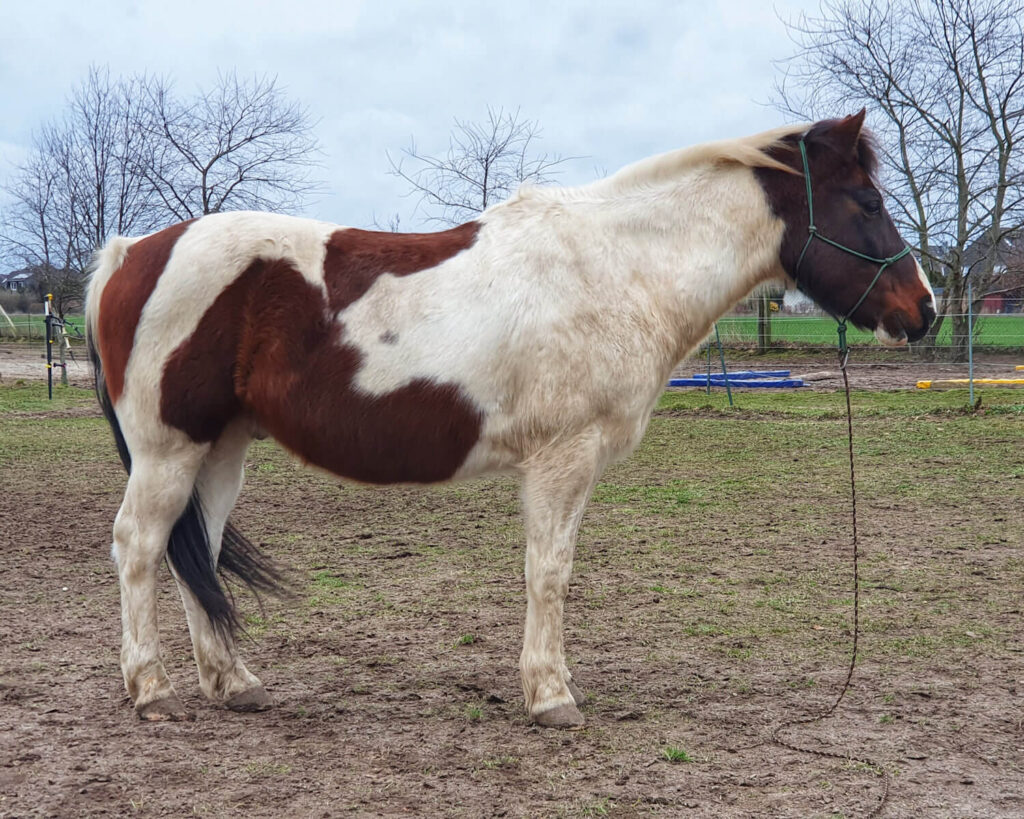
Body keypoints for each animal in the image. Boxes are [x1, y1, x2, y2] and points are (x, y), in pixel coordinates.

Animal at [85, 110, 935, 728]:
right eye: (869, 203)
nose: (922, 310)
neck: (616, 268)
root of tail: (132, 253)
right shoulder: (563, 458)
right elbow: (548, 571)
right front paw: (552, 696)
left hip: (220, 448)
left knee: (196, 554)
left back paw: (233, 682)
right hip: (168, 450)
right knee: (140, 547)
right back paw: (151, 689)